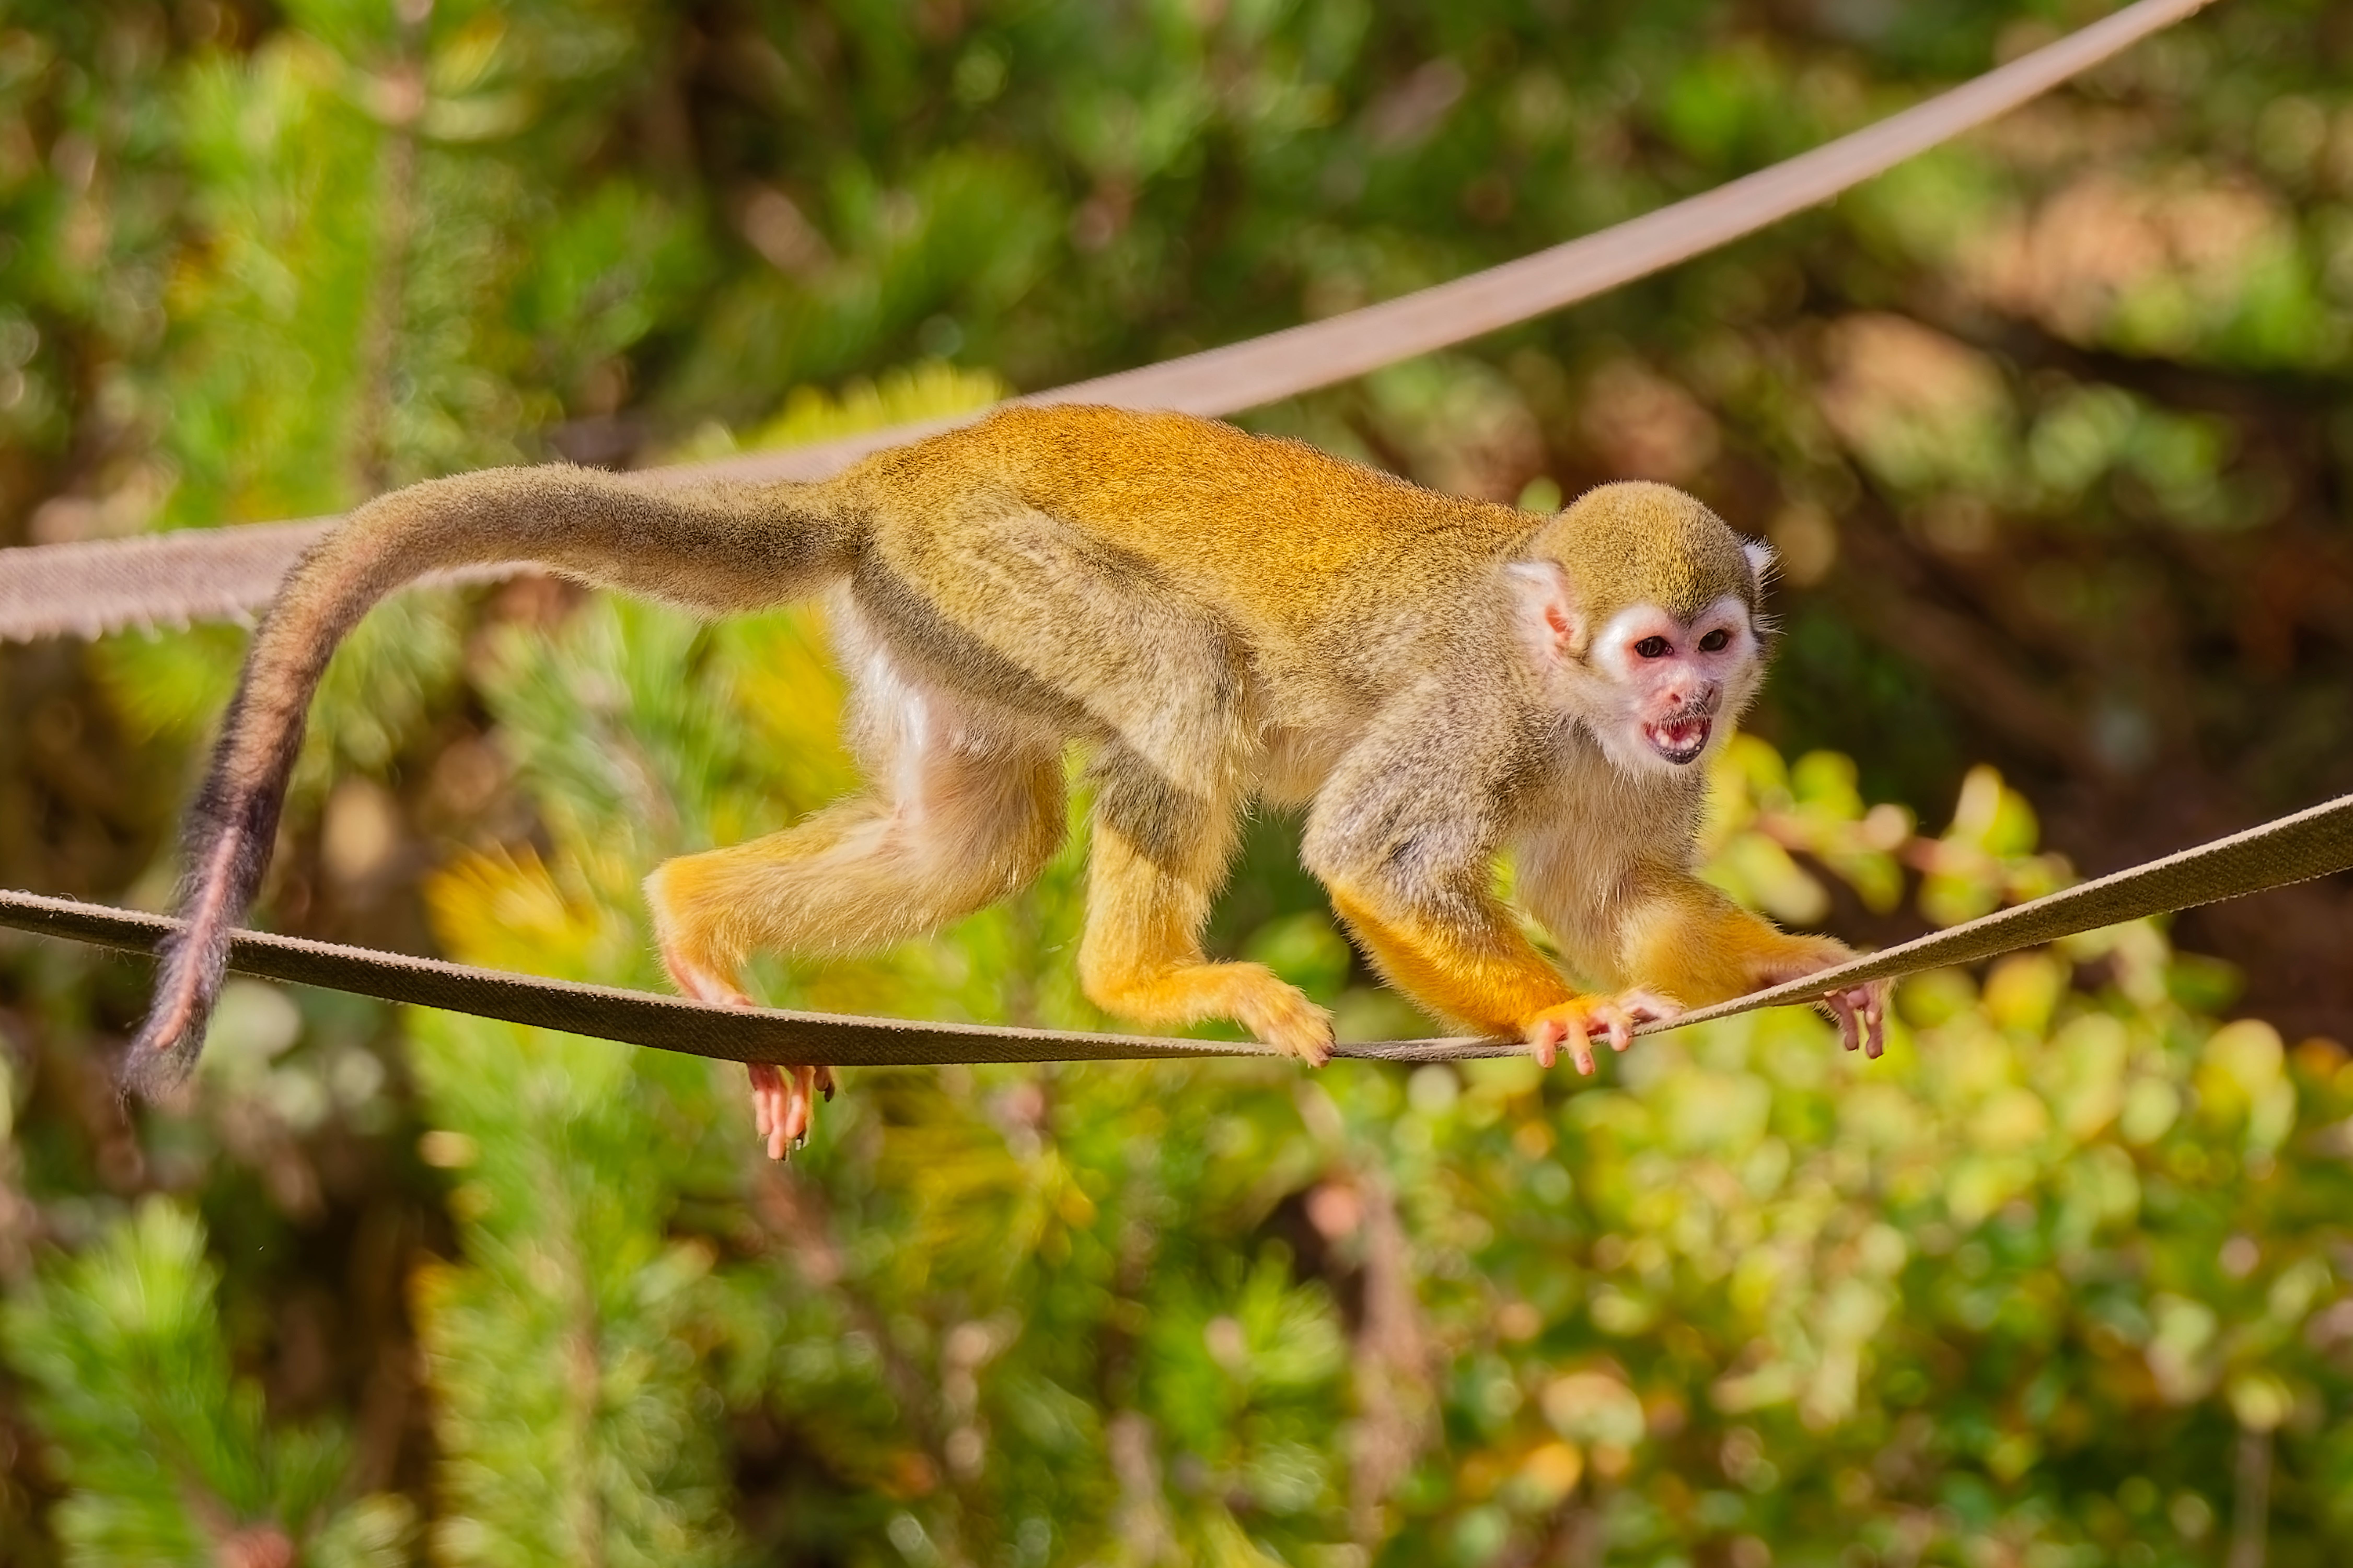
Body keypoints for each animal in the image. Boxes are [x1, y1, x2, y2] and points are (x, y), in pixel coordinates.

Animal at [129, 403, 1886, 1158]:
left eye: (1710, 645)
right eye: (1646, 644)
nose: (1690, 700)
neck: (1569, 700)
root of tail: (884, 476)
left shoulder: (1636, 775)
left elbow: (1611, 888)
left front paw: (1791, 965)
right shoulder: (1476, 709)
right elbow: (1370, 853)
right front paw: (1556, 1014)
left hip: (932, 623)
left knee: (973, 838)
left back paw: (696, 923)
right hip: (988, 567)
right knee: (1183, 673)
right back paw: (1141, 983)